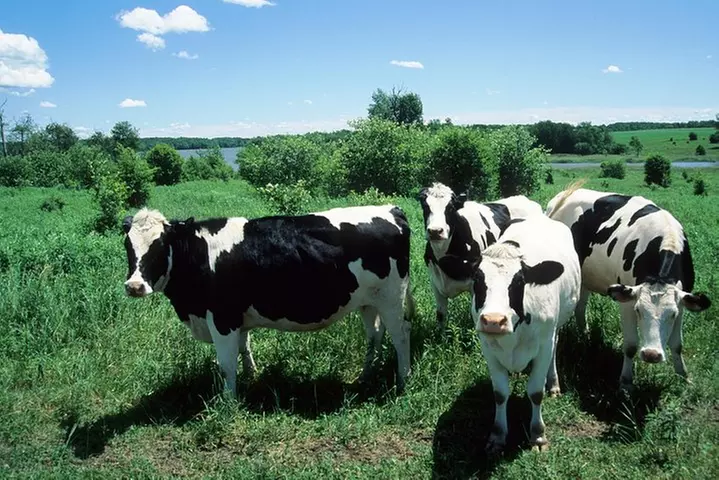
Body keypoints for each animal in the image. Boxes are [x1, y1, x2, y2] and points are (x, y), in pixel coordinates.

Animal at [122, 205, 415, 396]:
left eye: (160, 245)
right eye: (128, 246)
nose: (134, 286)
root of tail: (391, 210)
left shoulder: (222, 318)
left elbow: (226, 364)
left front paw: (228, 401)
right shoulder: (236, 318)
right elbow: (245, 348)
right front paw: (252, 378)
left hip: (391, 297)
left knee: (401, 334)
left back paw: (403, 381)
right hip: (369, 301)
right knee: (375, 335)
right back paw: (365, 376)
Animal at [471, 215, 581, 453]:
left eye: (519, 281)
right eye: (477, 279)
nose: (493, 321)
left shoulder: (543, 345)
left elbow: (536, 393)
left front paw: (538, 436)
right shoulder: (488, 349)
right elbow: (500, 394)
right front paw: (498, 435)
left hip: (555, 329)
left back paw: (553, 384)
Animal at [546, 182, 711, 390]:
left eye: (672, 315)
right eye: (638, 310)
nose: (651, 354)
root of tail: (565, 194)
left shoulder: (681, 303)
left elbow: (677, 344)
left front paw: (683, 376)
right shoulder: (627, 300)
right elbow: (631, 345)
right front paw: (625, 382)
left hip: (584, 275)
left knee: (581, 306)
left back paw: (585, 335)